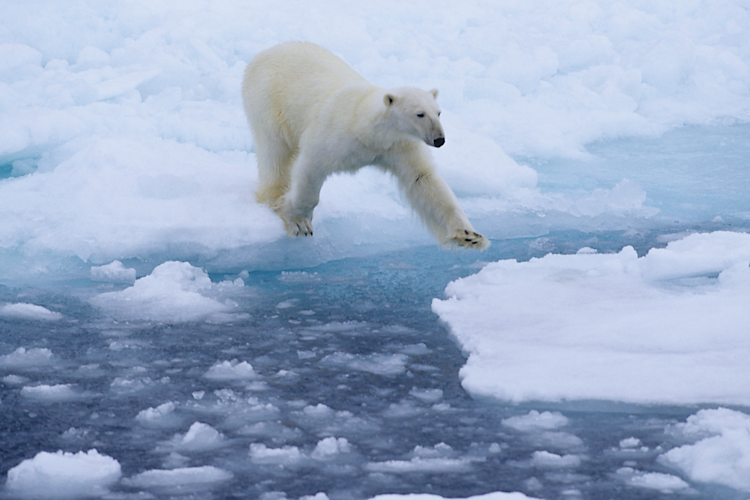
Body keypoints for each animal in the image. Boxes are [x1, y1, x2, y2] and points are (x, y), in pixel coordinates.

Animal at [242, 42, 489, 250]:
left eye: (438, 112)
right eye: (420, 114)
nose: (439, 139)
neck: (368, 130)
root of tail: (263, 54)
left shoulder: (399, 146)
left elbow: (423, 180)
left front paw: (469, 236)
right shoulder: (334, 135)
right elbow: (312, 165)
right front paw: (298, 222)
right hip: (267, 100)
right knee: (275, 152)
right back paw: (273, 196)